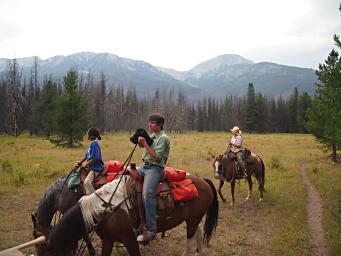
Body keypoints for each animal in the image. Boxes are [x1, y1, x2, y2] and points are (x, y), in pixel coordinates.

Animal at [32, 173, 218, 255]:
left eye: (44, 250)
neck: (105, 210)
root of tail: (203, 181)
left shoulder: (130, 240)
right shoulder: (107, 240)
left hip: (192, 220)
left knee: (190, 242)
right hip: (192, 219)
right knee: (197, 234)